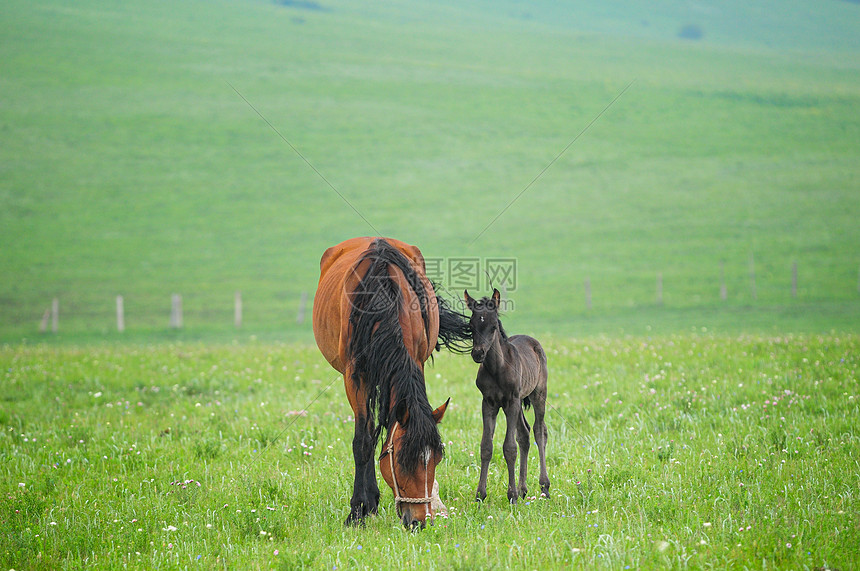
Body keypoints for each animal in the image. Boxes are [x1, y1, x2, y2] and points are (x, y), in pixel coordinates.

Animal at [312, 236, 470, 528]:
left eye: (436, 460)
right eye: (401, 462)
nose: (420, 521)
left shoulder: (416, 361)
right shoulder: (355, 377)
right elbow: (363, 440)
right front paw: (358, 510)